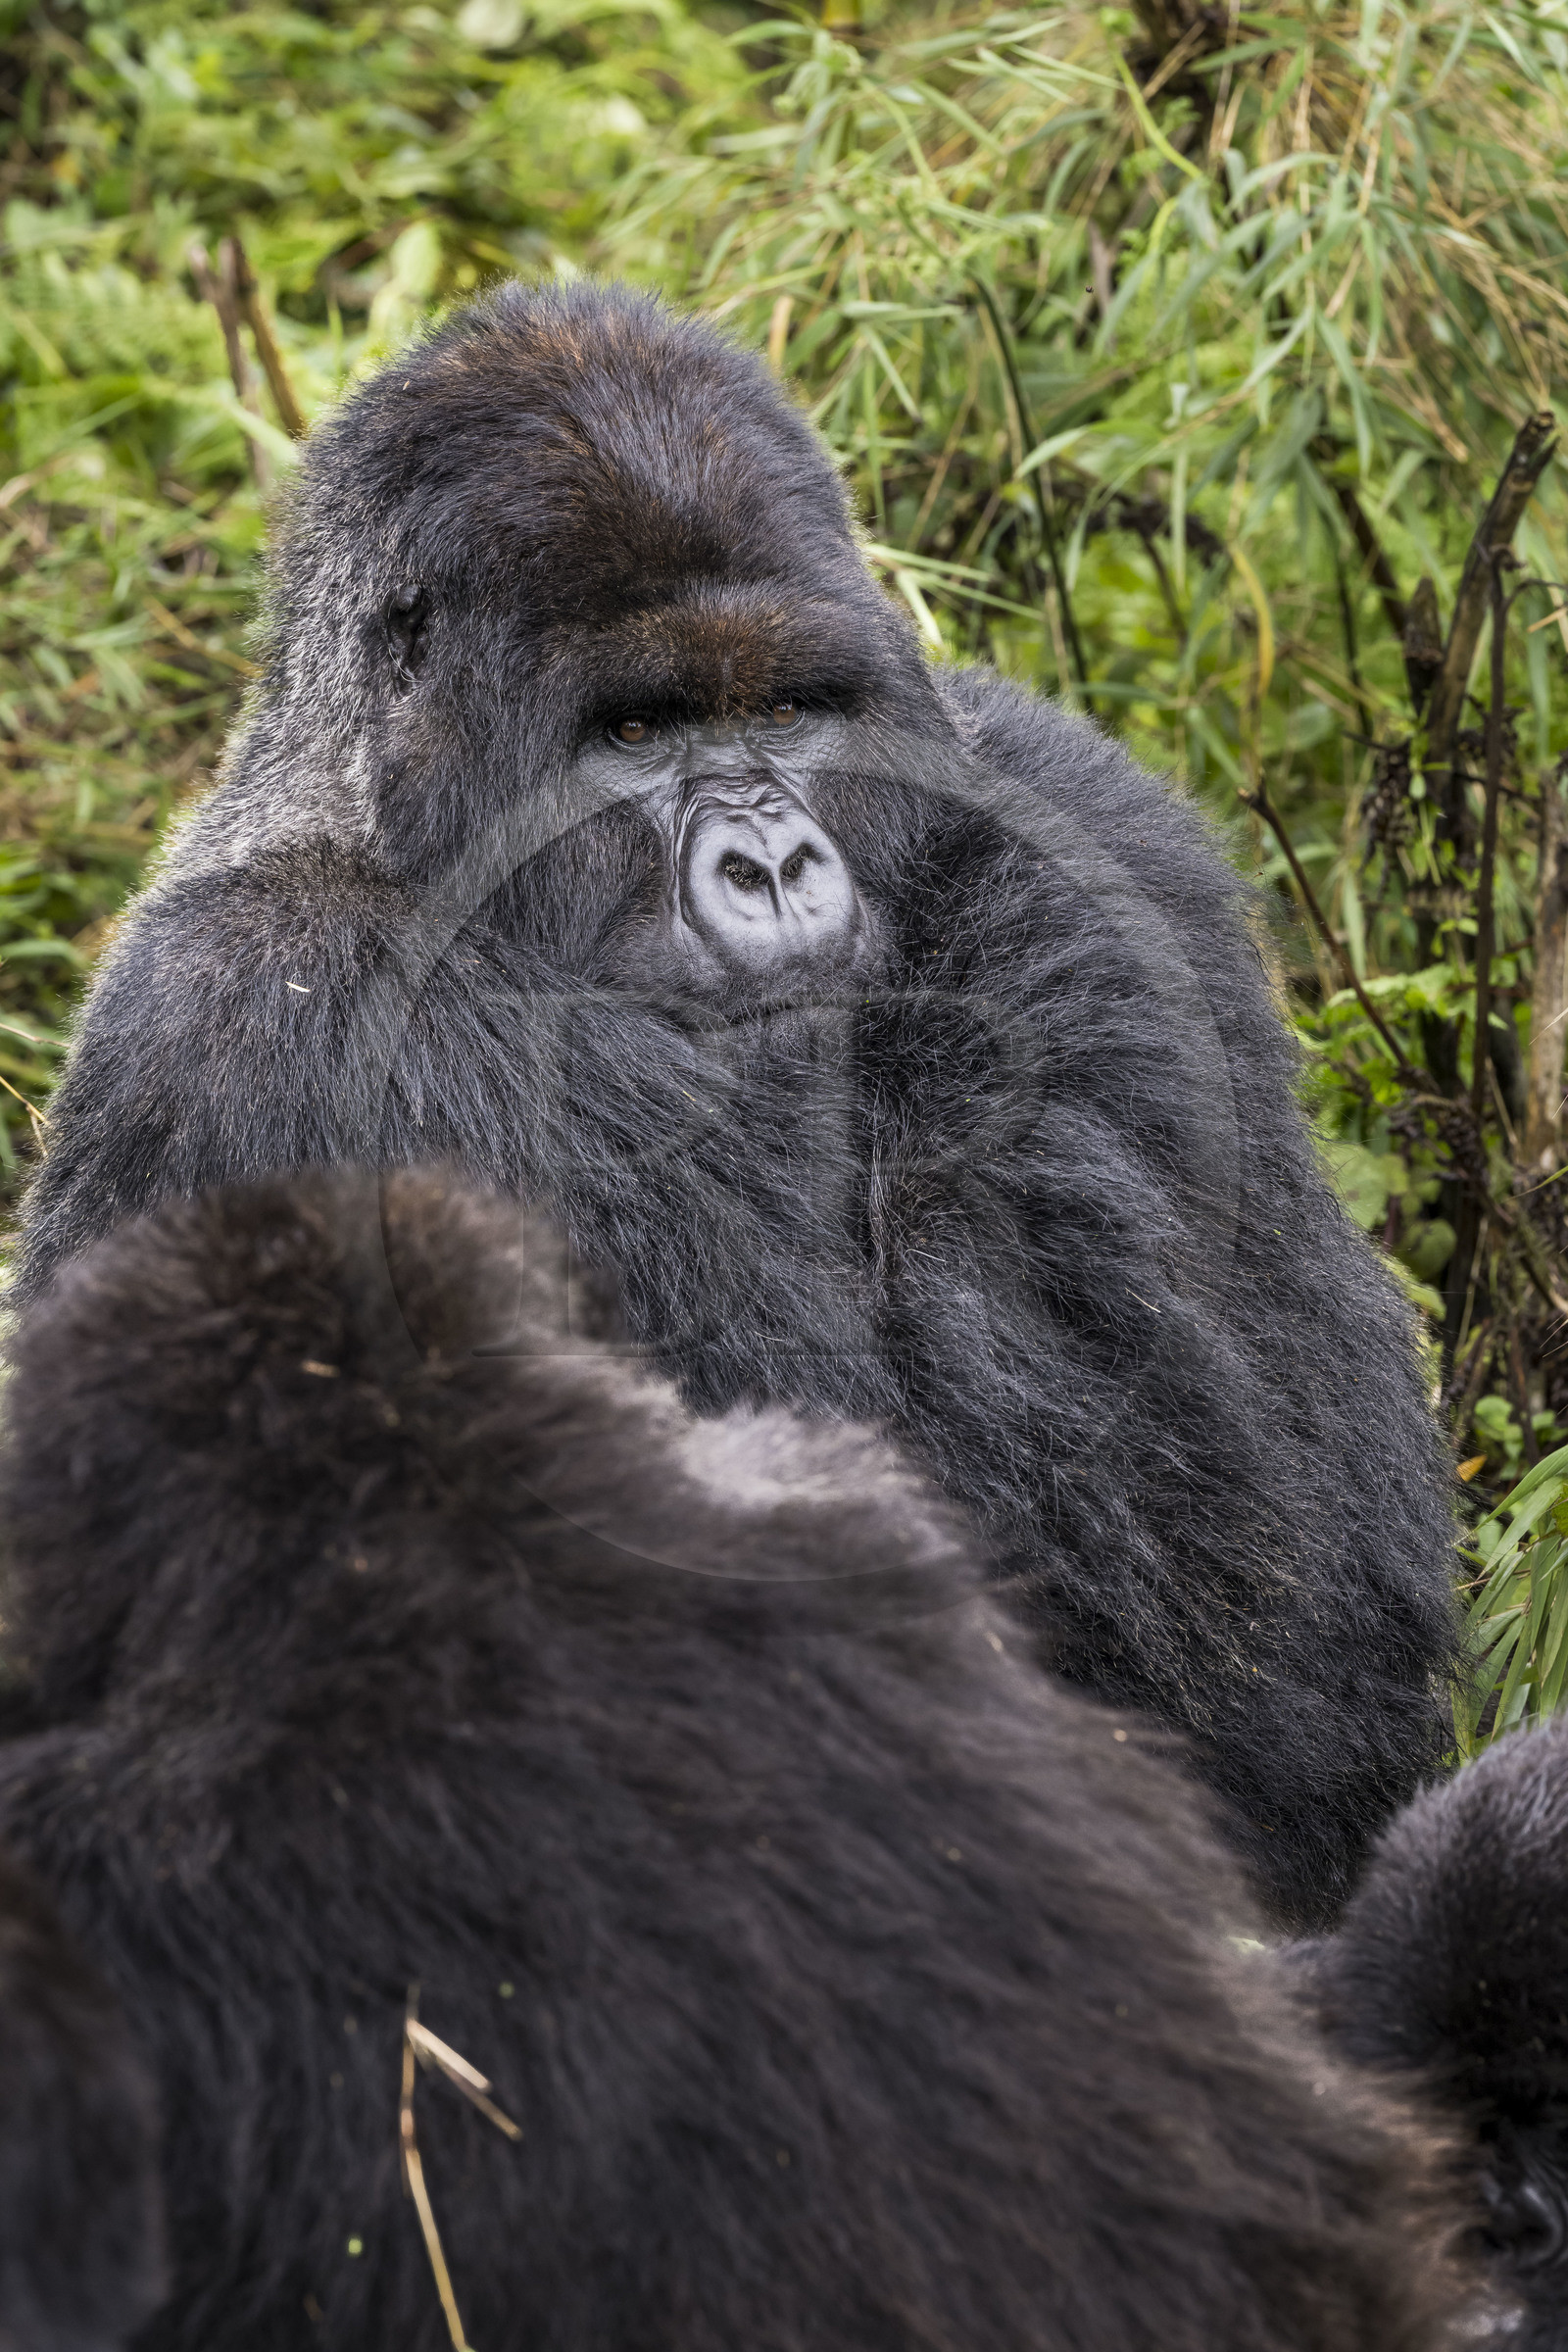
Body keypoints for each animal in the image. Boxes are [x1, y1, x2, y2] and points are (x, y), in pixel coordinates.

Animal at [10, 279, 1457, 1930]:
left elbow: (1278, 1568)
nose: (771, 865)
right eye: (635, 734)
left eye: (789, 708)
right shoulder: (258, 1010)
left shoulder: (1091, 817)